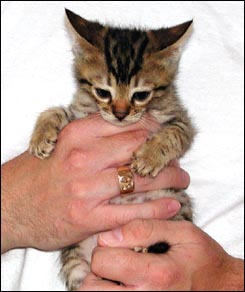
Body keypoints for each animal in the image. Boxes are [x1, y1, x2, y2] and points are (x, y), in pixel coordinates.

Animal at [29, 8, 196, 290]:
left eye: (141, 95)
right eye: (102, 92)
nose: (119, 114)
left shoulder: (181, 121)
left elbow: (174, 134)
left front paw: (149, 157)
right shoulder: (80, 115)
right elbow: (58, 111)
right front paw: (41, 136)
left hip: (177, 209)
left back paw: (140, 248)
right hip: (76, 263)